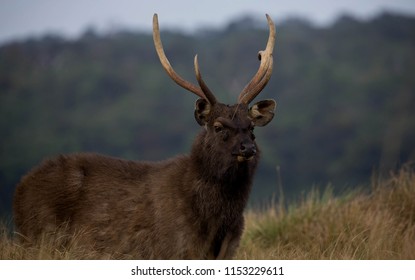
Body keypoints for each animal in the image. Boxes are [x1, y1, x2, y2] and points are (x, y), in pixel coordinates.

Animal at [13, 12, 278, 258]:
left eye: (251, 127)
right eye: (219, 126)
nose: (247, 148)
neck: (216, 221)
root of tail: (20, 191)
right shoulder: (175, 248)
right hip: (42, 236)